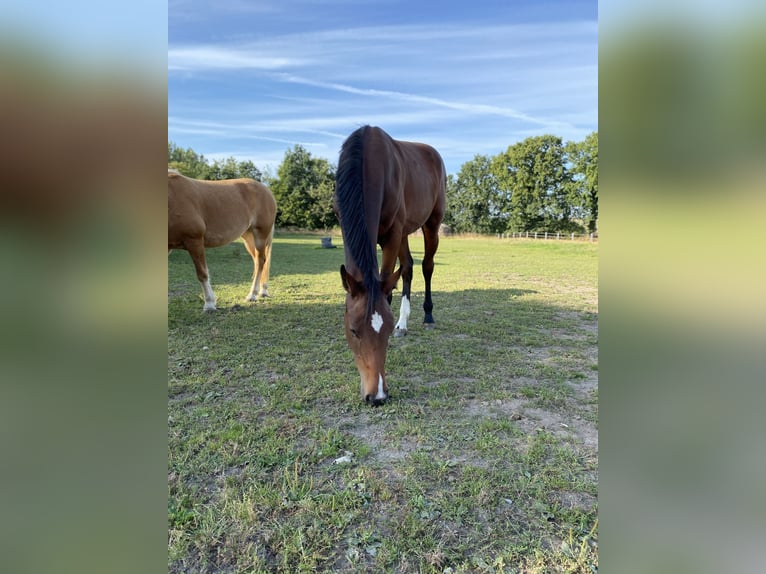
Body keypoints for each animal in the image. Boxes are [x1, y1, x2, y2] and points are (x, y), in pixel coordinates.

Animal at [168, 170, 277, 311]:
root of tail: (266, 190)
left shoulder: (194, 241)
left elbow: (202, 274)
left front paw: (209, 304)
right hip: (248, 237)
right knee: (258, 261)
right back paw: (262, 291)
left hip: (260, 234)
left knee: (260, 261)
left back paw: (252, 295)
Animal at [334, 126, 446, 406]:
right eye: (353, 330)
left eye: (383, 332)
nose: (377, 395)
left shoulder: (393, 234)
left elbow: (387, 282)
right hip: (406, 231)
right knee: (407, 268)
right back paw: (404, 324)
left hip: (431, 223)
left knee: (427, 266)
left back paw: (427, 316)